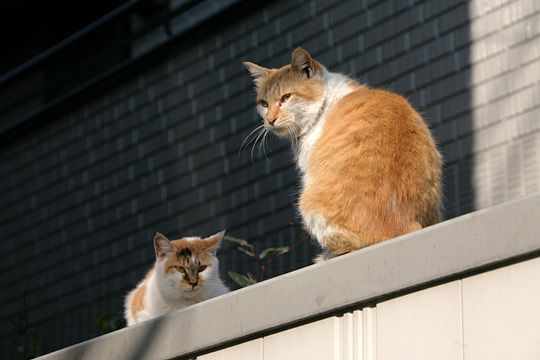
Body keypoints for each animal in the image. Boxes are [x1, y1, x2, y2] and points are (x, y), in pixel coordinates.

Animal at [245, 47, 442, 258]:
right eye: (264, 104)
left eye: (286, 97)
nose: (270, 120)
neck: (324, 104)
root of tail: (405, 227)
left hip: (308, 202)